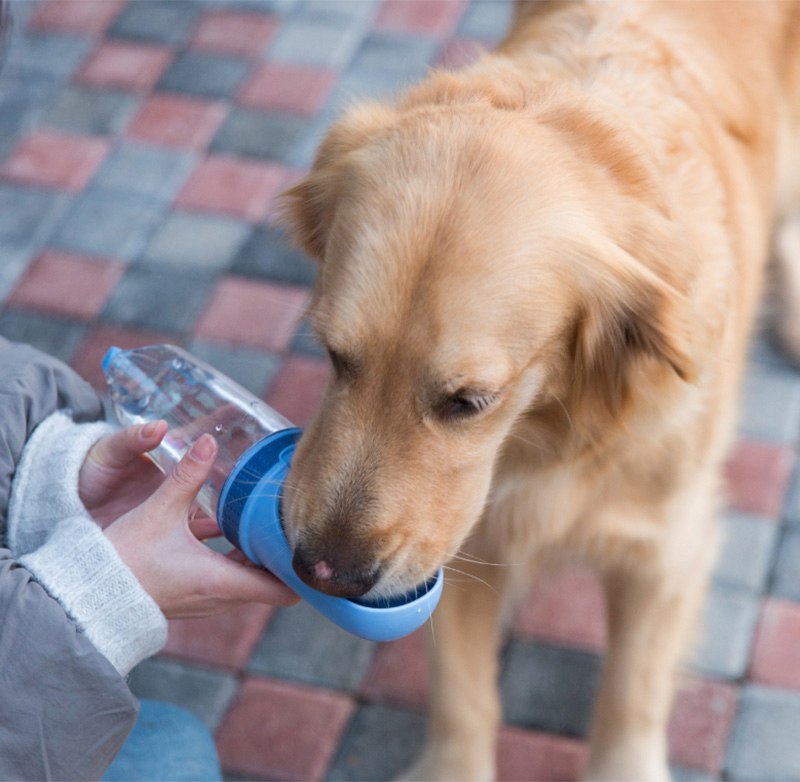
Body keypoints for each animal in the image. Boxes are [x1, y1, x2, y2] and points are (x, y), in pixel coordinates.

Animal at [280, 3, 800, 780]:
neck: (552, 429)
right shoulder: (459, 537)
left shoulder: (667, 545)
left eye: (467, 401)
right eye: (334, 356)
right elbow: (462, 692)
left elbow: (632, 694)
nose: (324, 573)